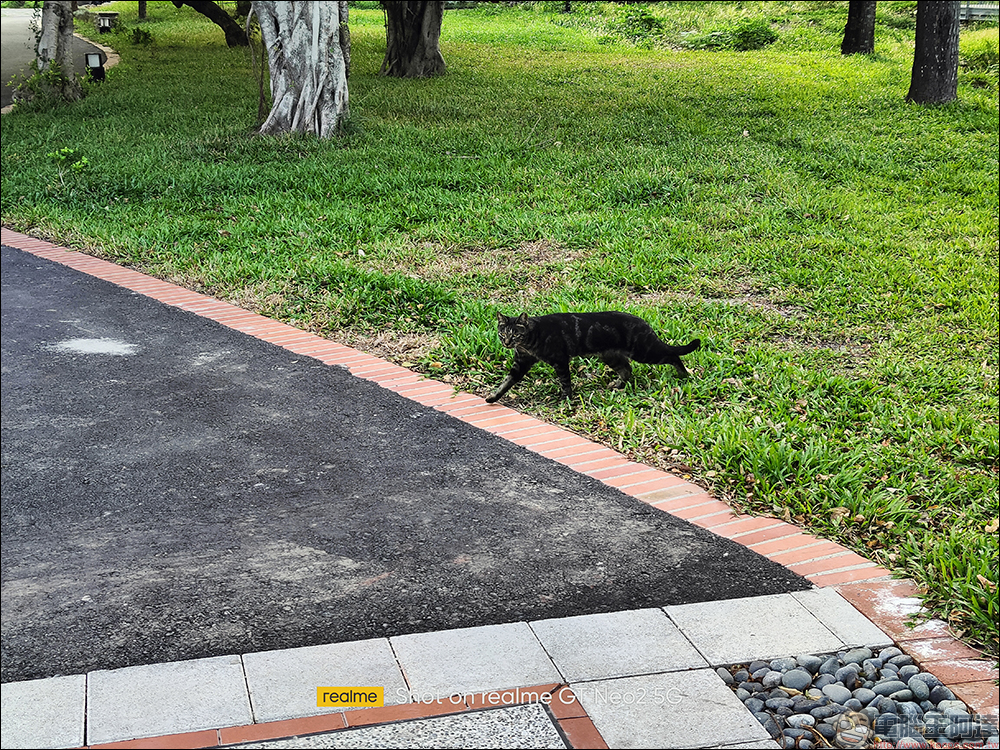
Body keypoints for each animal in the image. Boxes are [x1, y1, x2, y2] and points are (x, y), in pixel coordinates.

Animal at [488, 312, 700, 406]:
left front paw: (565, 399)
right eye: (502, 333)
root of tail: (645, 323)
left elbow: (565, 383)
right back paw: (617, 385)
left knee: (672, 355)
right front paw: (493, 397)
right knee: (627, 369)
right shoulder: (521, 363)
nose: (506, 342)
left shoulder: (560, 360)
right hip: (612, 356)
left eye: (515, 334)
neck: (530, 340)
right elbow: (506, 382)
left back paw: (683, 375)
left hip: (645, 351)